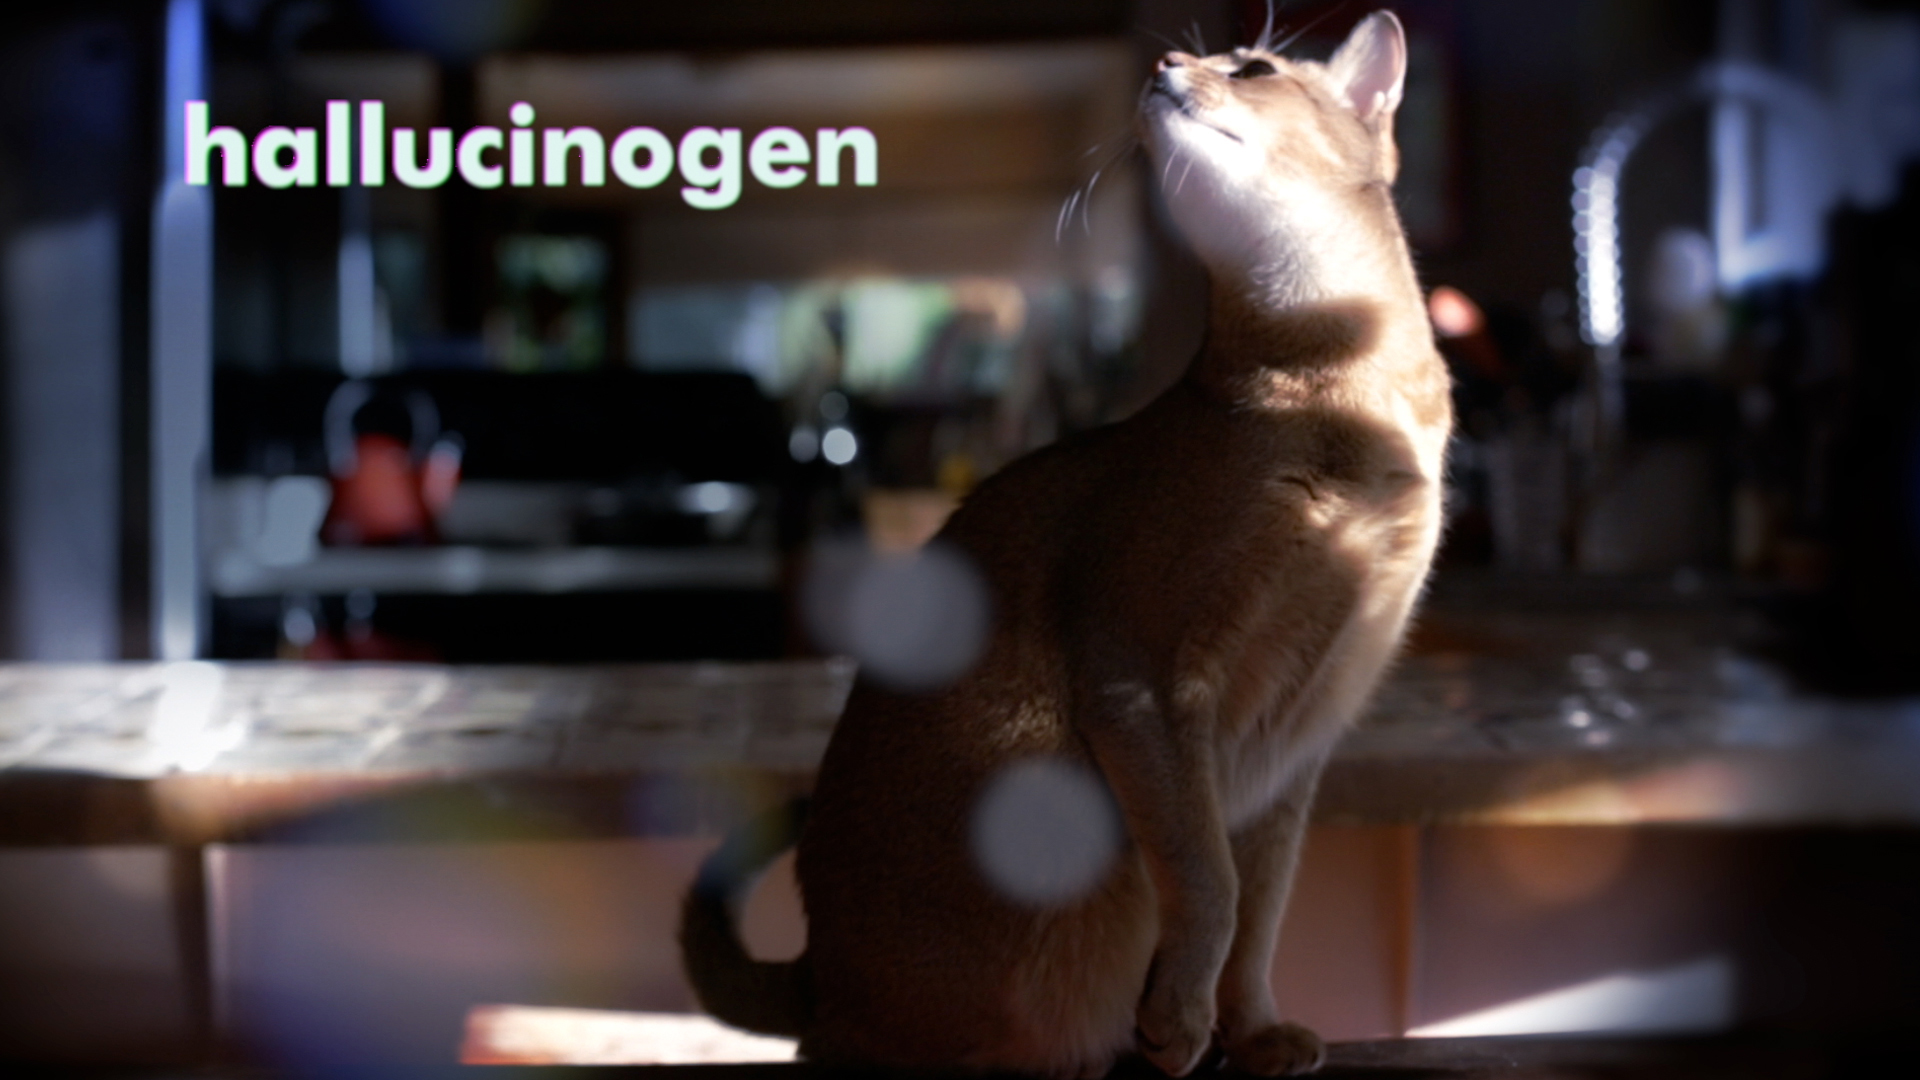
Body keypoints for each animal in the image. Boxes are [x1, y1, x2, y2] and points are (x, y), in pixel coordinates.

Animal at [681, 11, 1450, 1077]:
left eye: (1253, 68)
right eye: (1209, 58)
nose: (1165, 63)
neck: (1338, 384)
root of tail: (819, 975)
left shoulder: (1298, 752)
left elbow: (1264, 911)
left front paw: (1254, 1032)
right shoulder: (1143, 683)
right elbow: (1211, 882)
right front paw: (1180, 1021)